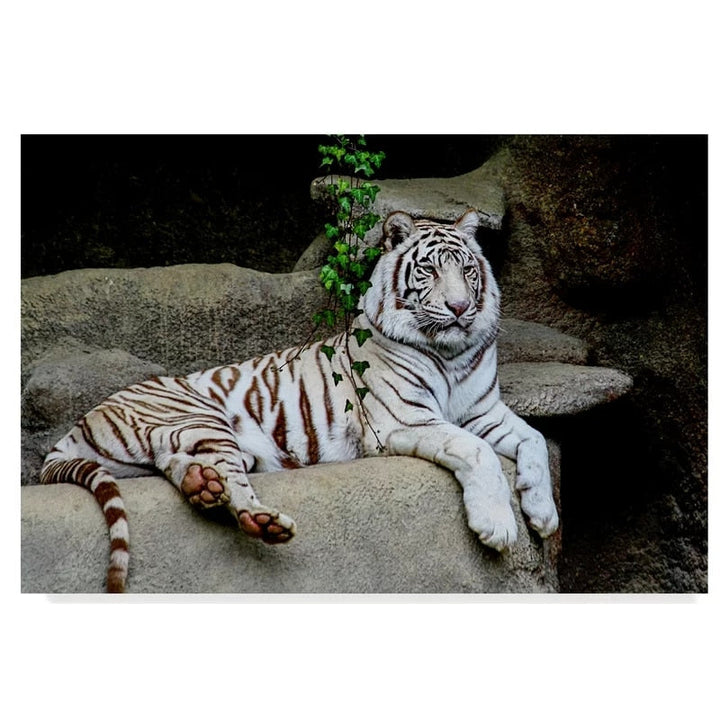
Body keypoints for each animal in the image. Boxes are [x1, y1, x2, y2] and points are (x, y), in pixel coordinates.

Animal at [40, 208, 559, 592]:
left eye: (468, 270)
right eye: (430, 269)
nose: (459, 308)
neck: (451, 351)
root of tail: (79, 423)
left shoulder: (484, 411)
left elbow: (534, 439)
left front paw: (544, 514)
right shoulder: (406, 419)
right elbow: (478, 451)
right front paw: (498, 525)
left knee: (179, 465)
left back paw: (200, 485)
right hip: (202, 419)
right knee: (234, 486)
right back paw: (261, 519)